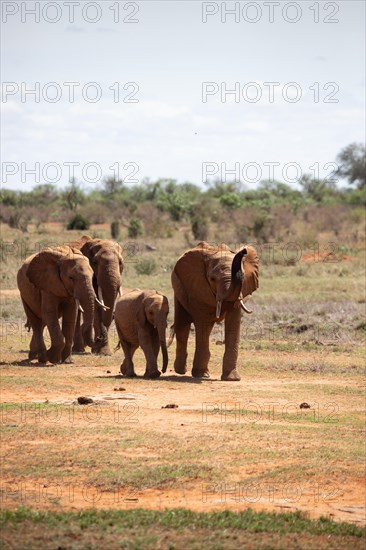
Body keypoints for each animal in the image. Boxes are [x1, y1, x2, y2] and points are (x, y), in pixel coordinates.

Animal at [171, 244, 258, 382]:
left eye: (244, 276)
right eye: (212, 279)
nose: (244, 250)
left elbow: (233, 323)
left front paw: (232, 378)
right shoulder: (198, 287)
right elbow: (202, 323)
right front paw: (201, 375)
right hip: (179, 290)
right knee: (183, 325)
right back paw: (180, 371)